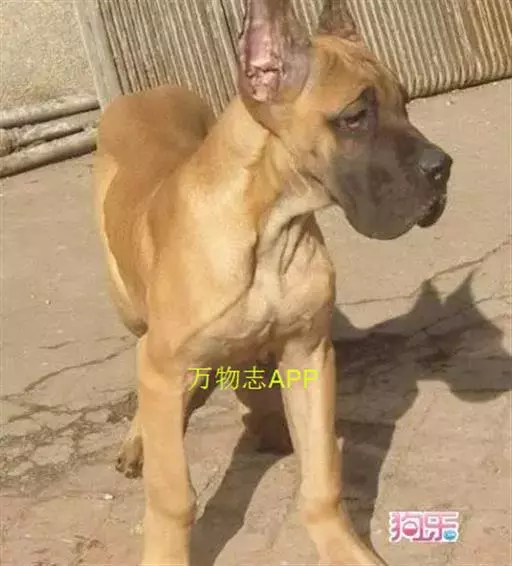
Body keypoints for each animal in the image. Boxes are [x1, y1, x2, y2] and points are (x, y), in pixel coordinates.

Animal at [94, 0, 452, 564]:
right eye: (354, 117)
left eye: (407, 103)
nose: (443, 168)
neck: (271, 228)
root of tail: (139, 93)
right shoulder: (163, 366)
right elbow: (173, 497)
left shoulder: (309, 352)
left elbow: (322, 476)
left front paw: (342, 546)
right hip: (129, 308)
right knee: (142, 354)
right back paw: (141, 438)